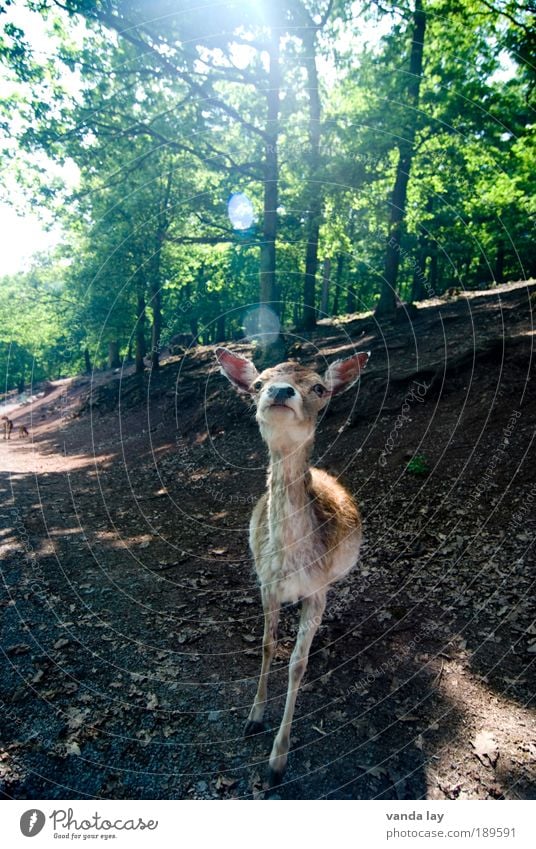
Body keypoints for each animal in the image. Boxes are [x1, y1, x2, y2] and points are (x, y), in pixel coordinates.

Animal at [216, 346, 370, 788]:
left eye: (318, 387)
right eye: (257, 383)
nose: (281, 391)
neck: (290, 564)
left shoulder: (316, 590)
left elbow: (297, 665)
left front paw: (277, 761)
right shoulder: (265, 584)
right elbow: (268, 646)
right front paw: (253, 718)